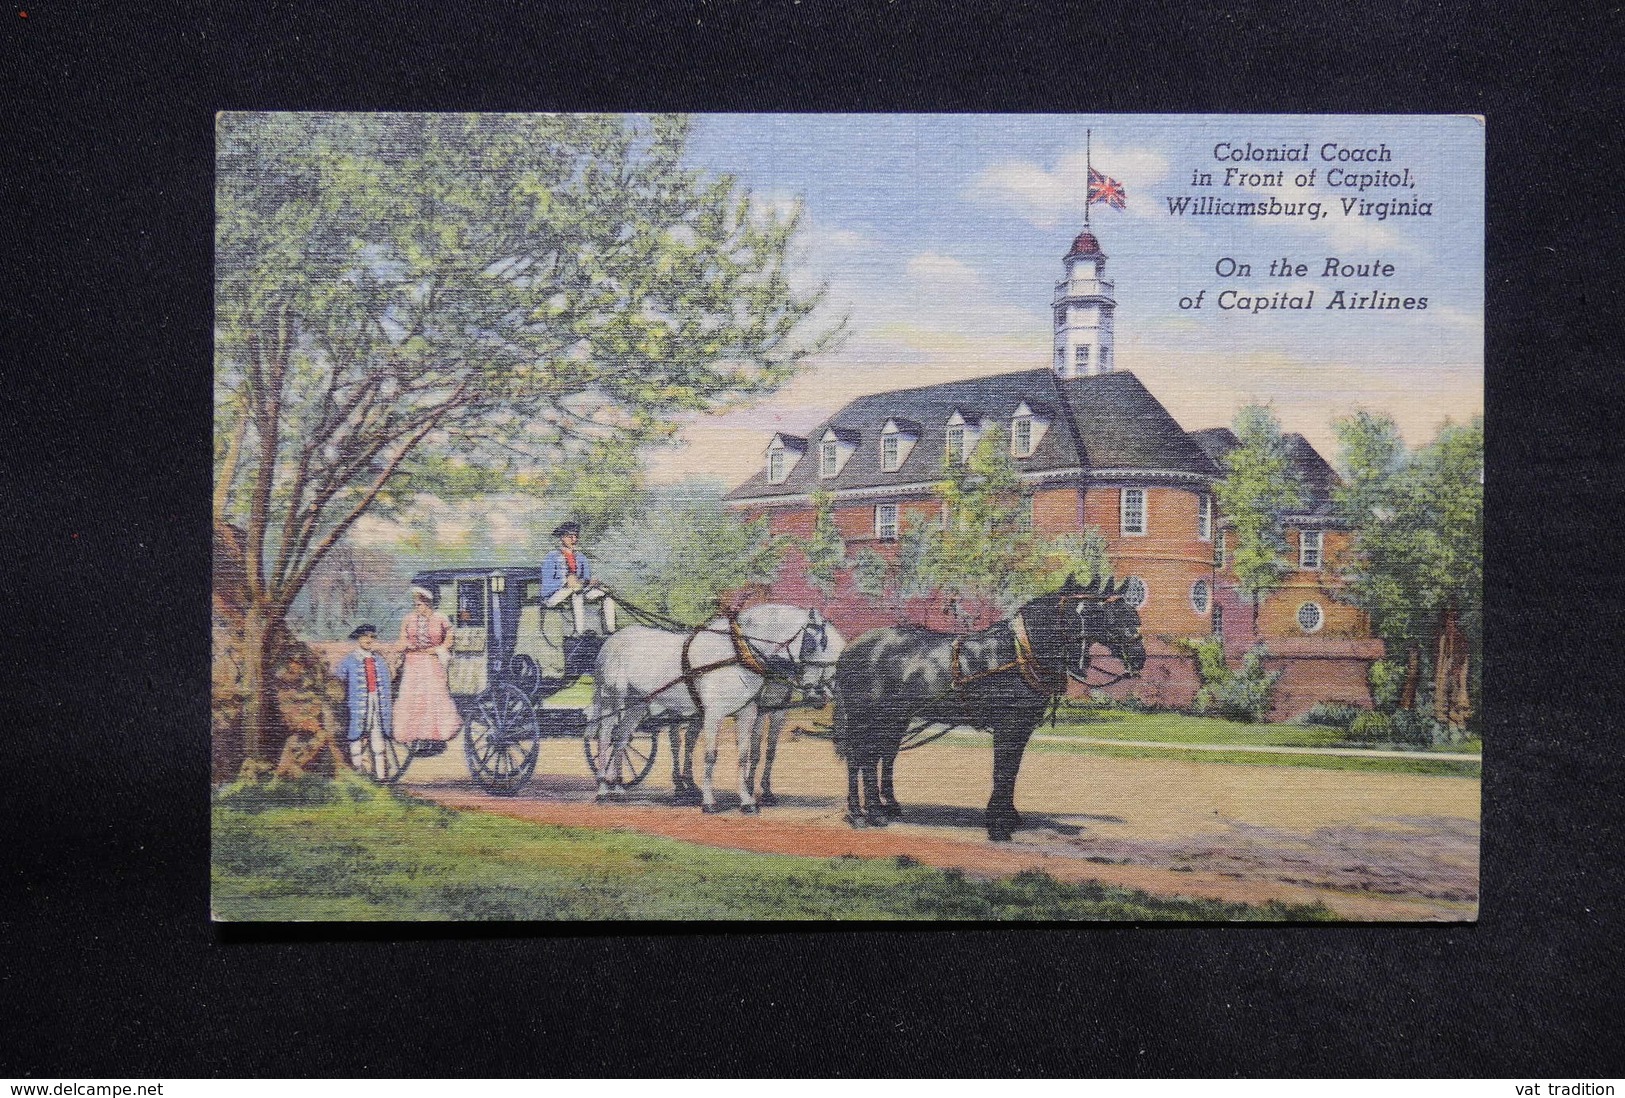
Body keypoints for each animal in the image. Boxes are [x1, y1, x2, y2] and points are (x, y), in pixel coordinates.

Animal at [598, 604, 851, 812]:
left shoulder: (751, 712)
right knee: (606, 736)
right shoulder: (714, 715)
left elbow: (747, 754)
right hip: (613, 698)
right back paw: (603, 788)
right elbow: (711, 755)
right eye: (813, 642)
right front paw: (710, 802)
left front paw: (747, 800)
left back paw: (619, 788)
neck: (739, 653)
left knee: (622, 738)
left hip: (638, 703)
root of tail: (613, 639)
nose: (818, 693)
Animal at [832, 574, 1150, 838]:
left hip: (894, 718)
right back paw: (863, 814)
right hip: (866, 716)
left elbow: (1012, 771)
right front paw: (998, 826)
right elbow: (1001, 770)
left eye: (1131, 613)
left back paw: (881, 808)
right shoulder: (1007, 725)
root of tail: (852, 648)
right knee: (860, 758)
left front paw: (1008, 816)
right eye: (1101, 613)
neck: (1017, 654)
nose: (1139, 656)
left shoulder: (1022, 727)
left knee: (878, 757)